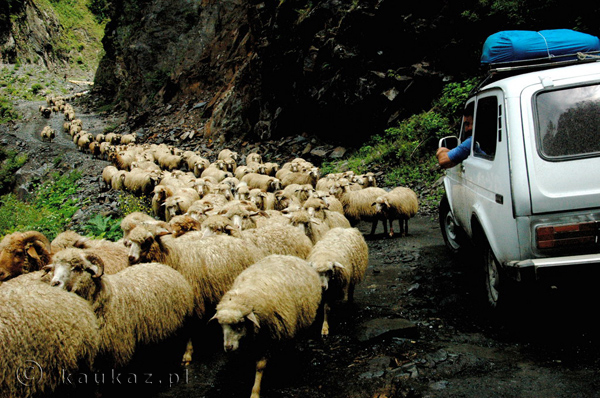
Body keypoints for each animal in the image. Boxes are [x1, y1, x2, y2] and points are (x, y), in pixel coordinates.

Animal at [46, 250, 195, 368]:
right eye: (54, 269)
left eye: (77, 268)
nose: (54, 283)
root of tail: (164, 267)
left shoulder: (119, 348)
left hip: (186, 316)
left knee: (188, 335)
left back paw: (186, 357)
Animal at [211, 253, 324, 398]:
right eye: (221, 326)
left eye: (240, 324)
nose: (228, 347)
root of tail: (289, 256)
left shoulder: (269, 339)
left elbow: (260, 366)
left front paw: (255, 391)